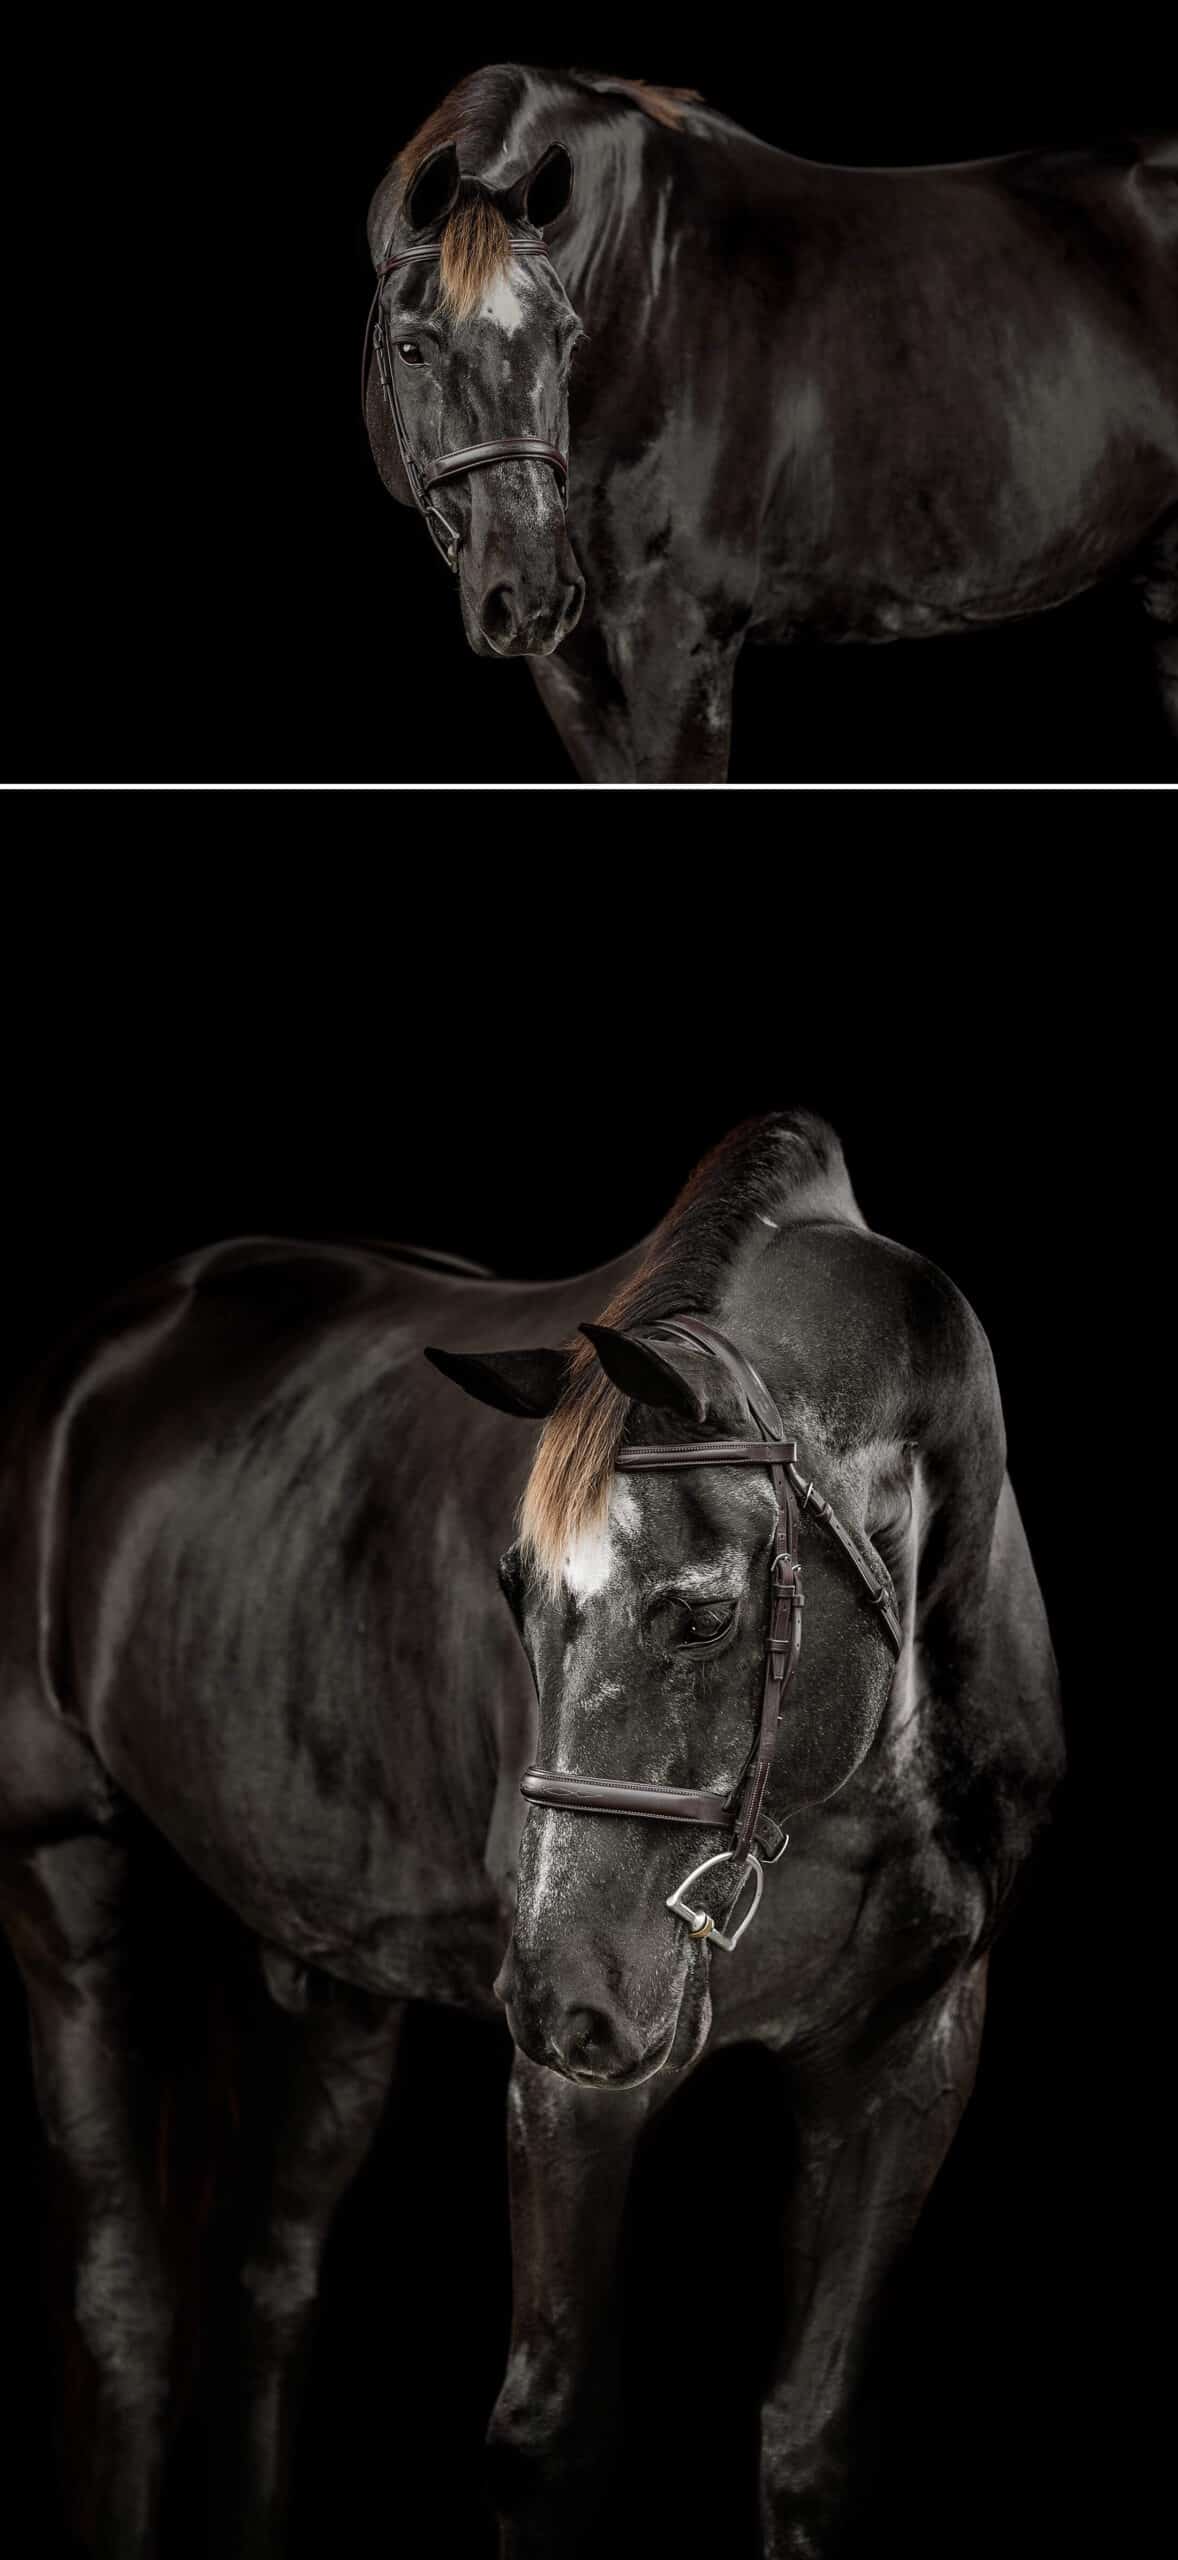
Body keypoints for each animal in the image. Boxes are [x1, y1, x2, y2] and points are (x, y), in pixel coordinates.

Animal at [0, 1109, 1064, 2557]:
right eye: (513, 1589)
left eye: (699, 1613)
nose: (564, 1994)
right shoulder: (573, 2089)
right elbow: (545, 2443)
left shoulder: (904, 2057)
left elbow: (807, 2439)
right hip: (67, 1877)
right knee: (125, 2299)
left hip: (336, 1973)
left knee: (269, 2285)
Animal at [360, 63, 1178, 782]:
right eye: (411, 347)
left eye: (569, 338)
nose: (530, 590)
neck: (645, 290)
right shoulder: (570, 666)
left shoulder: (683, 641)